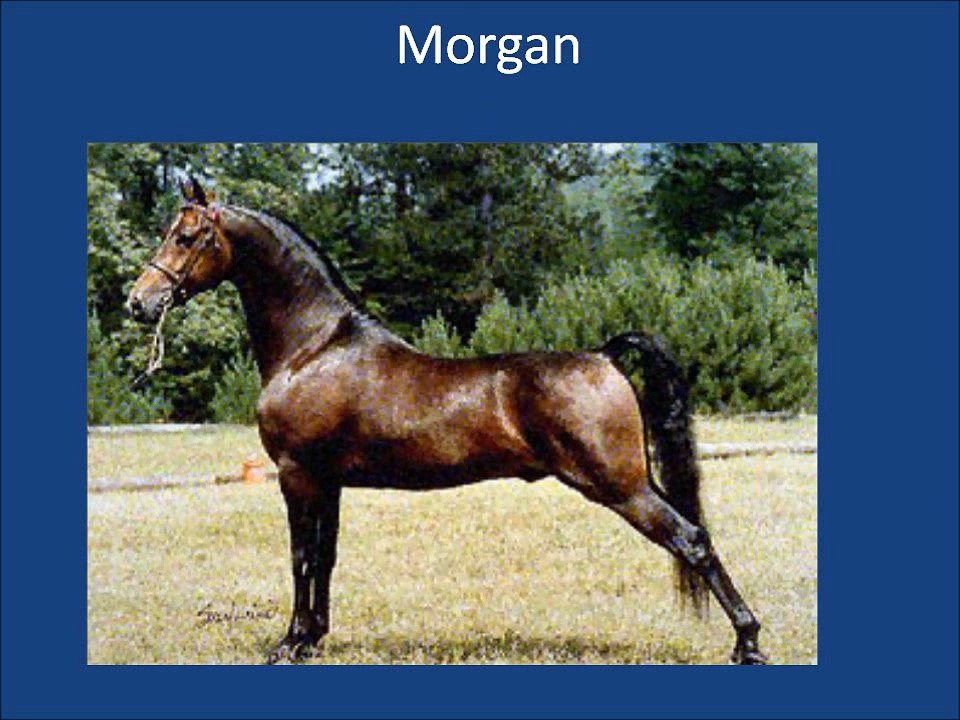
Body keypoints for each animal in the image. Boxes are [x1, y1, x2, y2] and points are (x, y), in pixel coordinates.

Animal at [127, 178, 767, 665]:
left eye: (186, 236)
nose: (139, 301)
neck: (315, 346)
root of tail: (604, 355)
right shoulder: (328, 481)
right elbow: (327, 556)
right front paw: (314, 638)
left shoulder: (297, 473)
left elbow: (301, 557)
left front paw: (289, 643)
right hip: (635, 480)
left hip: (620, 486)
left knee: (692, 540)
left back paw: (749, 643)